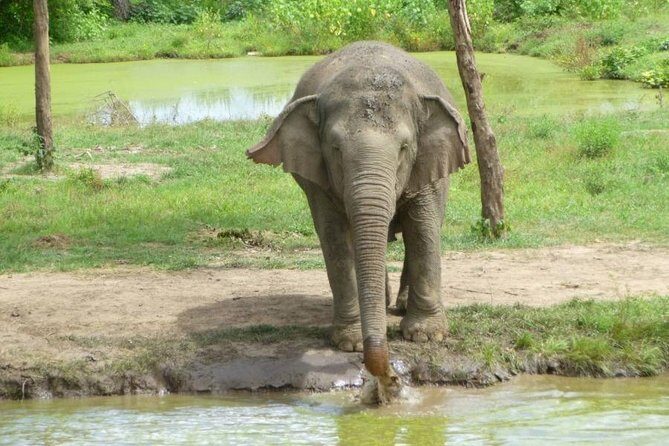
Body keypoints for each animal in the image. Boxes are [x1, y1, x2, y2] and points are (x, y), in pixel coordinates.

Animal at [246, 41, 470, 380]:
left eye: (404, 149)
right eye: (336, 150)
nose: (386, 374)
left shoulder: (428, 164)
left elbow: (423, 230)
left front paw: (426, 337)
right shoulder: (318, 181)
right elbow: (335, 240)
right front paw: (349, 343)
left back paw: (398, 306)